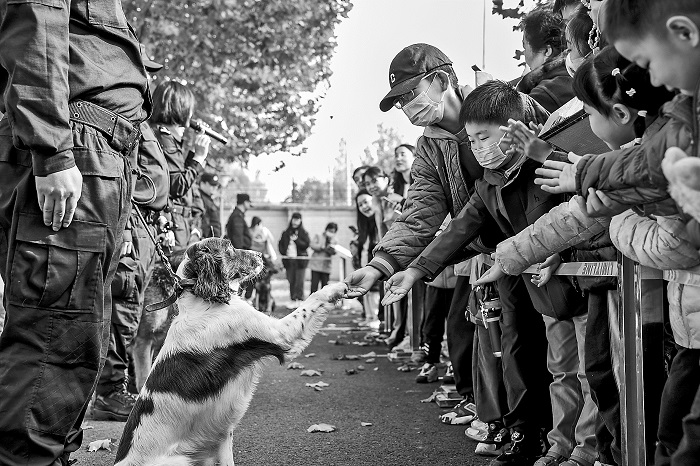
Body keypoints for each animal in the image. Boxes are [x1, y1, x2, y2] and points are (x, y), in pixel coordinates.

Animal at [114, 237, 346, 466]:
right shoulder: (281, 334)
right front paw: (341, 286)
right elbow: (313, 298)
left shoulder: (223, 438)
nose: (260, 254)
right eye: (230, 247)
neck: (201, 302)